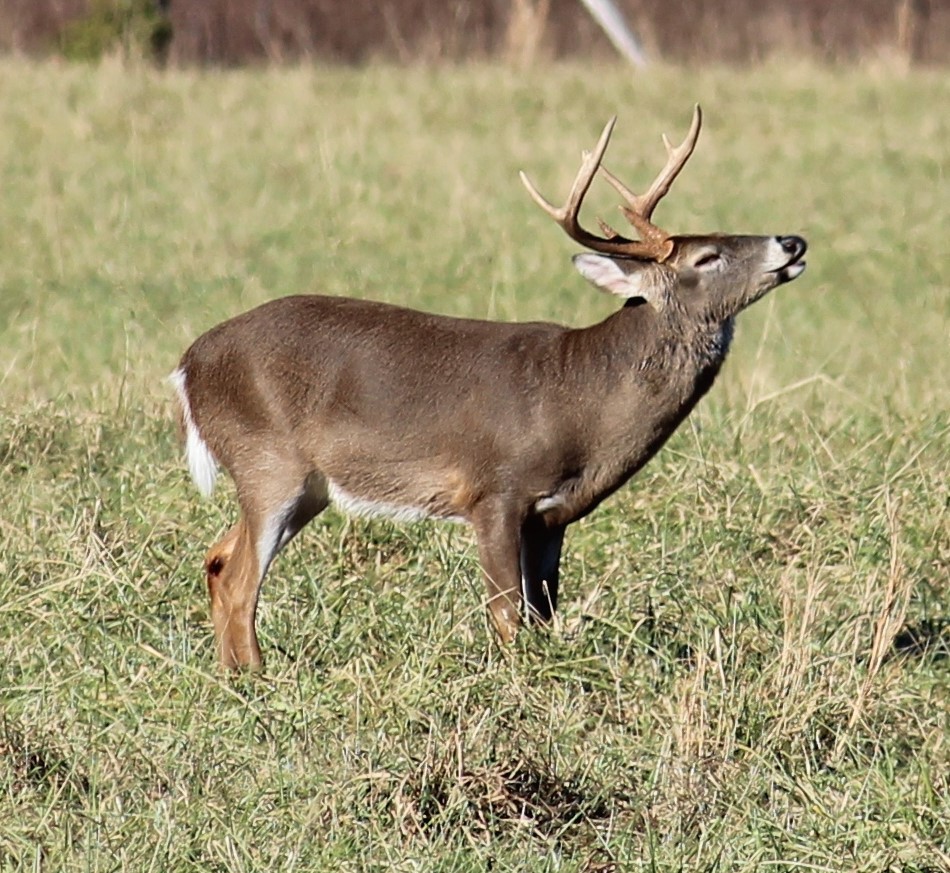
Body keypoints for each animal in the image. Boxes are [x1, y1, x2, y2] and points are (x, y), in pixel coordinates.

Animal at [173, 109, 812, 668]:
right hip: (267, 459)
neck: (581, 399)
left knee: (217, 558)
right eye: (707, 256)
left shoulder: (552, 516)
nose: (793, 241)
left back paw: (233, 673)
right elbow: (507, 615)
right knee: (240, 579)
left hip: (308, 485)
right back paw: (259, 678)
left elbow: (542, 614)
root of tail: (188, 364)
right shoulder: (495, 490)